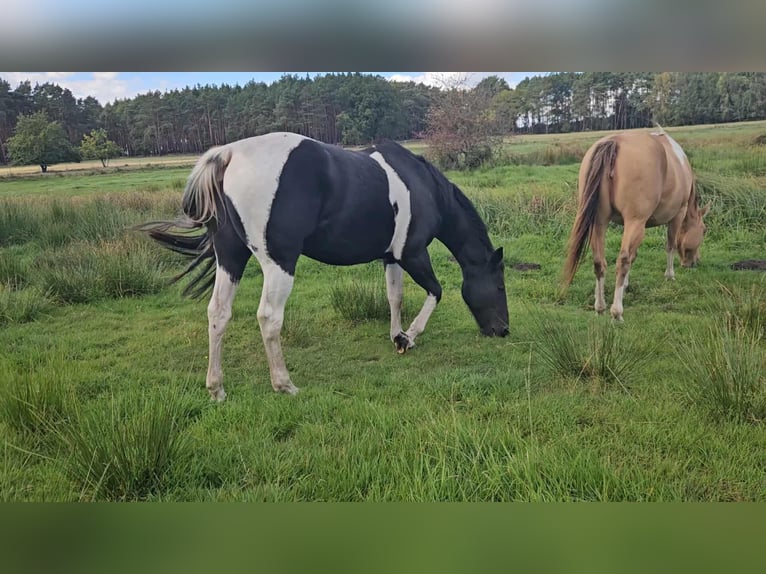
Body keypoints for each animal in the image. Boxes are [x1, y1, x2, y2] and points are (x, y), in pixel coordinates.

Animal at [141, 132, 509, 401]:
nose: (503, 330)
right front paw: (409, 337)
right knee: (269, 318)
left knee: (218, 313)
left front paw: (396, 335)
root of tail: (228, 155)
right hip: (279, 263)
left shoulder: (391, 257)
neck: (422, 187)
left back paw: (217, 388)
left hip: (230, 257)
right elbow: (436, 291)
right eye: (500, 285)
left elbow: (395, 297)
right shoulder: (413, 253)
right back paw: (284, 384)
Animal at [562, 128, 710, 321]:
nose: (694, 262)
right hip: (634, 222)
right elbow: (670, 245)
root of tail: (614, 142)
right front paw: (670, 275)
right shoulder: (677, 215)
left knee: (599, 262)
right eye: (704, 230)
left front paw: (624, 285)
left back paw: (600, 307)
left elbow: (634, 255)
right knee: (622, 260)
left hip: (600, 222)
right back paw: (616, 312)